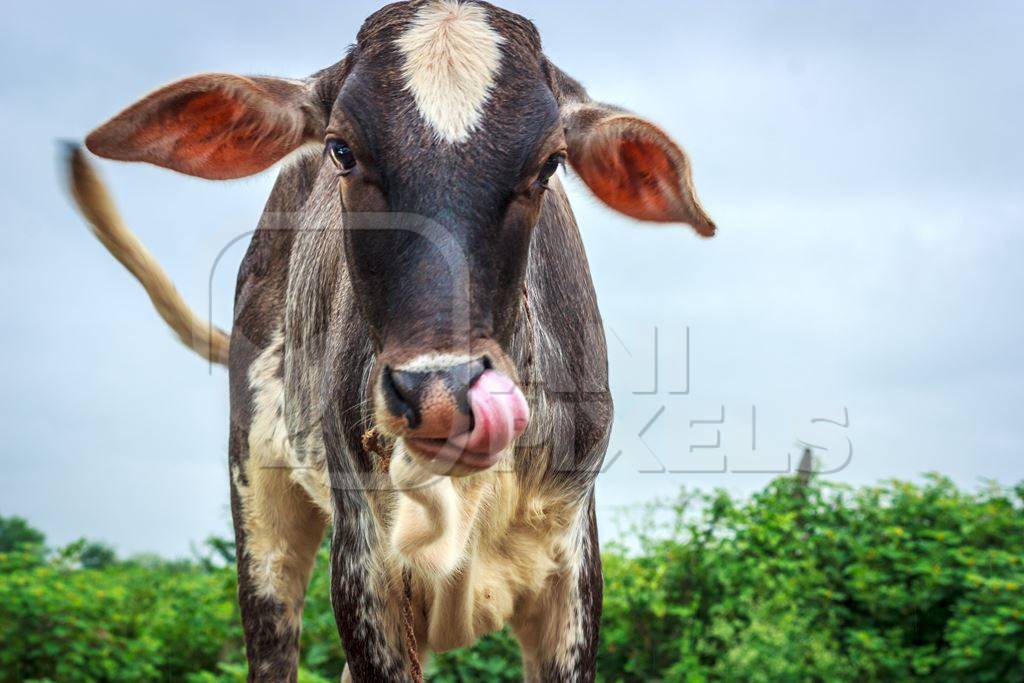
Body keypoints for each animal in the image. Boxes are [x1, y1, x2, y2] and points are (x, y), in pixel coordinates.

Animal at [66, 2, 712, 679]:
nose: (441, 394)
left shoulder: (572, 572)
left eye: (550, 165)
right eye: (341, 151)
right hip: (260, 501)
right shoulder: (363, 573)